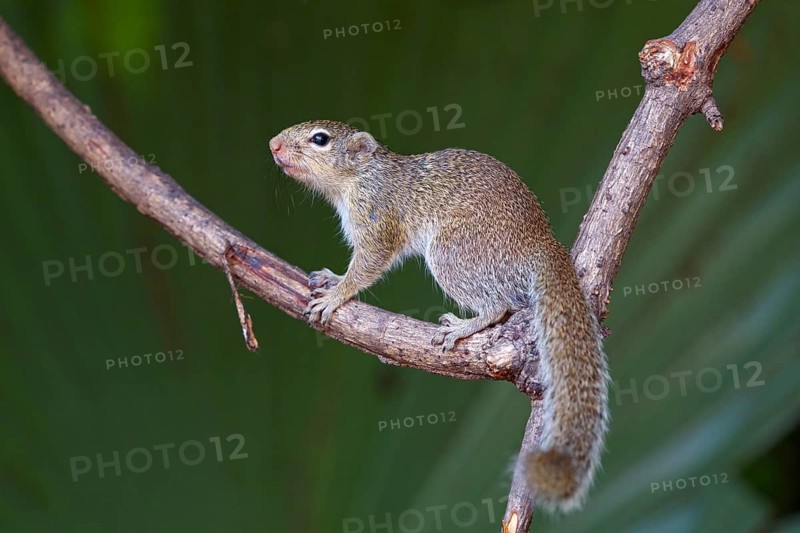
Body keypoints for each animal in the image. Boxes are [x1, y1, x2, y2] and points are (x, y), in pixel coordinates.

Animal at [269, 120, 610, 512]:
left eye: (320, 139)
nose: (273, 145)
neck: (357, 179)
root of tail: (540, 244)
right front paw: (332, 278)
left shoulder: (378, 218)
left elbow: (369, 264)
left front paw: (337, 294)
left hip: (453, 251)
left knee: (499, 306)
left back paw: (463, 327)